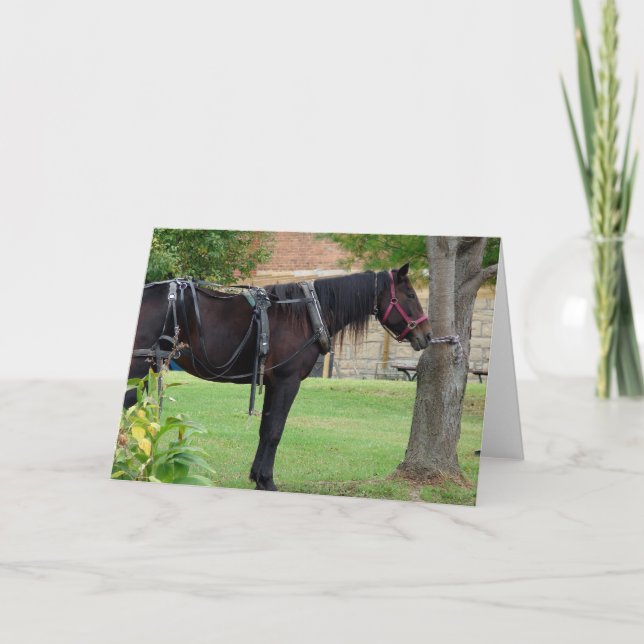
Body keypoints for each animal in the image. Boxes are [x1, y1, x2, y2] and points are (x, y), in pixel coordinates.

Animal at [126, 263, 432, 491]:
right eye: (410, 296)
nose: (427, 335)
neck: (306, 314)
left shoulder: (274, 384)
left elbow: (265, 430)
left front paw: (257, 477)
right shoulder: (288, 382)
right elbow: (275, 432)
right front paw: (267, 481)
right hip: (137, 368)